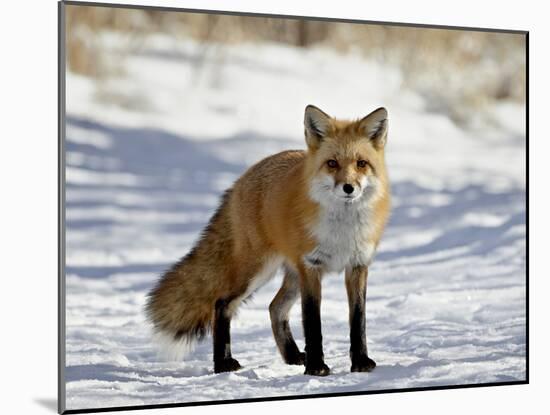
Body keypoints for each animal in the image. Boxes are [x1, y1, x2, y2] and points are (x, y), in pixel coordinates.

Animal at [144, 105, 390, 376]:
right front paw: (316, 367)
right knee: (222, 303)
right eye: (332, 163)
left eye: (361, 164)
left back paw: (292, 355)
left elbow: (358, 320)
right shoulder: (311, 267)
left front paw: (360, 362)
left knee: (275, 308)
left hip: (291, 275)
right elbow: (313, 323)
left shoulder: (357, 265)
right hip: (257, 271)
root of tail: (243, 178)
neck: (342, 231)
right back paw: (223, 364)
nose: (348, 188)